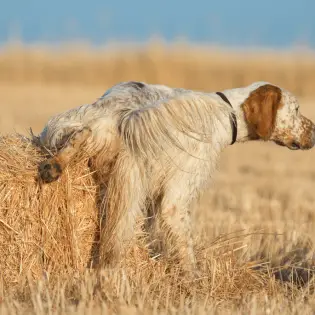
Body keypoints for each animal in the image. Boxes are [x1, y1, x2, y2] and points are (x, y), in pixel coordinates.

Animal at [37, 81, 315, 274]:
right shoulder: (175, 197)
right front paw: (195, 279)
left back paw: (53, 166)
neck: (227, 112)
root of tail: (117, 115)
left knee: (79, 136)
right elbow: (185, 247)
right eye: (296, 109)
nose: (313, 131)